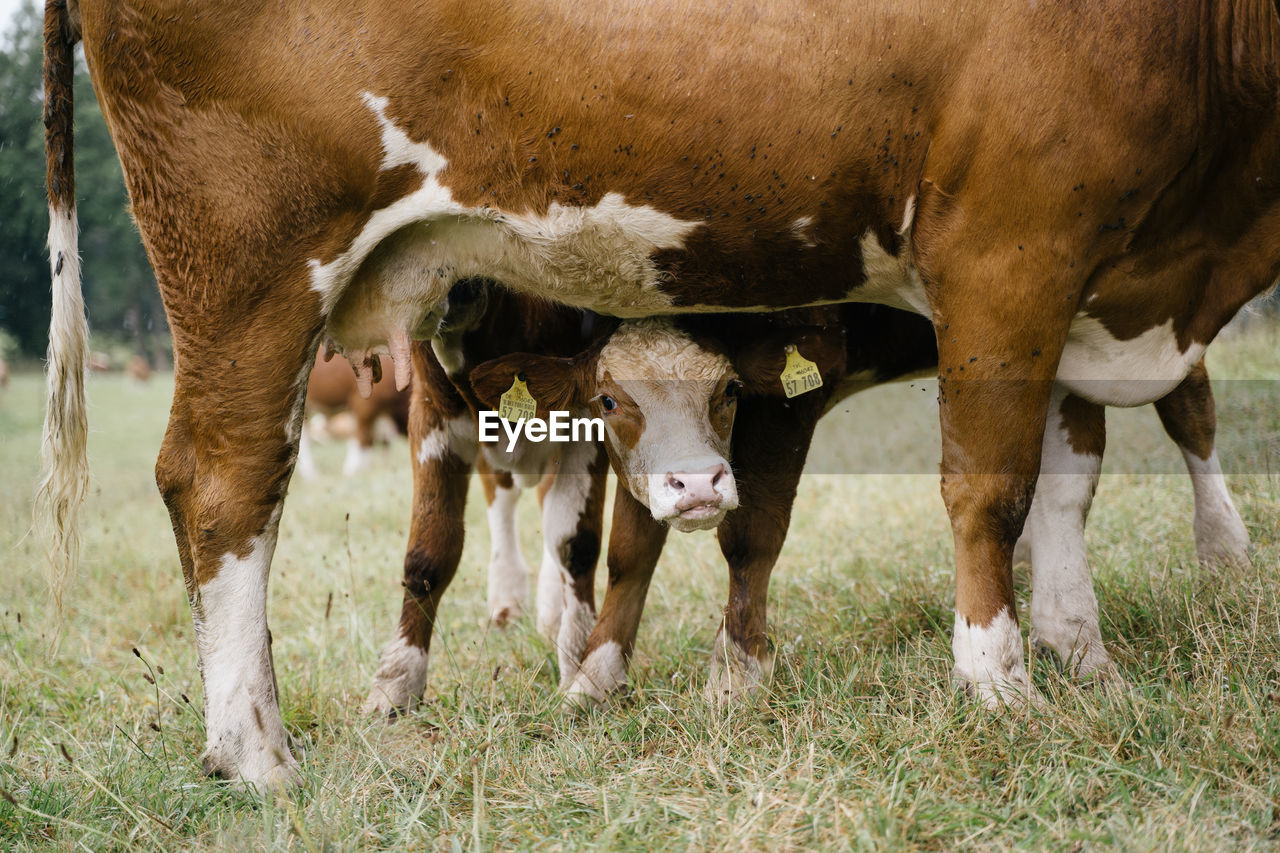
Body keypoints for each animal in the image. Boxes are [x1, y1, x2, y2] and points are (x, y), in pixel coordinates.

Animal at [296, 348, 407, 479]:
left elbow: (369, 440)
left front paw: (365, 468)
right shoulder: (363, 405)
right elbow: (361, 437)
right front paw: (352, 470)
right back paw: (311, 474)